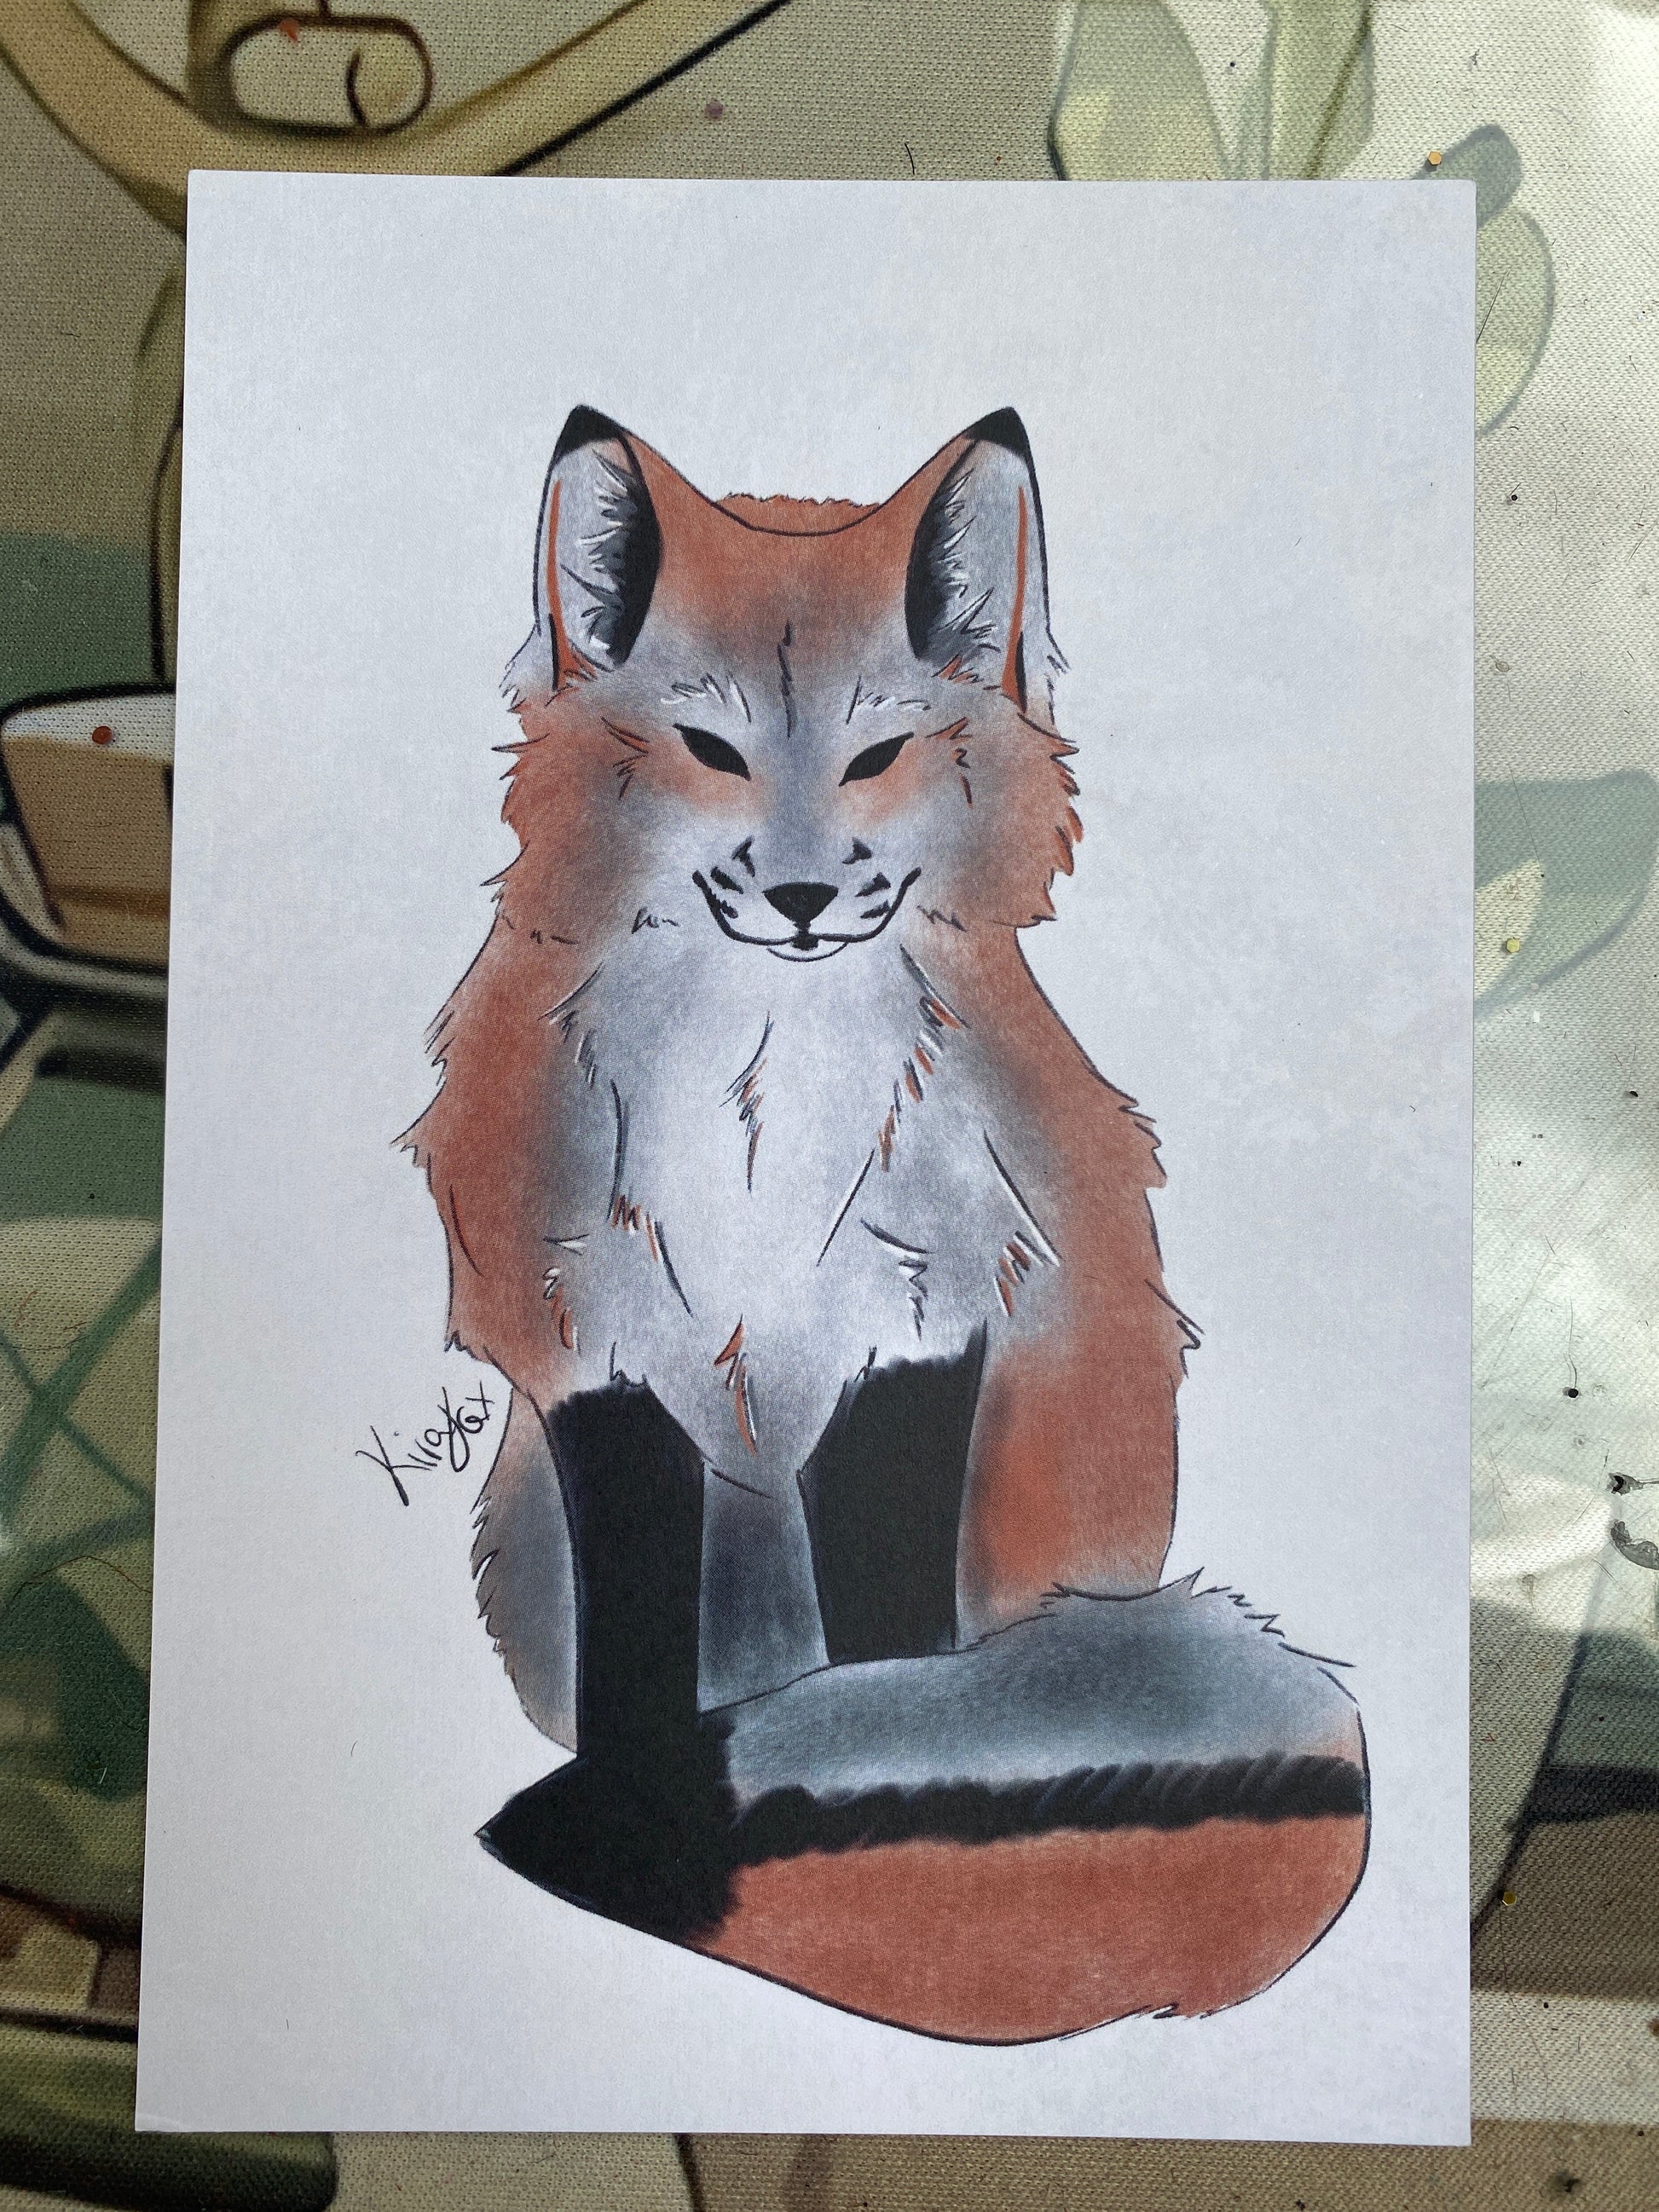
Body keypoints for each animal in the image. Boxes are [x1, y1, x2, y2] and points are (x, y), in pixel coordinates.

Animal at [406, 406, 1368, 2042]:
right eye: (712, 750)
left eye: (878, 755)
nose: (800, 896)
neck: (758, 1125)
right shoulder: (591, 1343)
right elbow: (644, 1645)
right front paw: (642, 1804)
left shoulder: (923, 1323)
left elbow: (883, 1634)